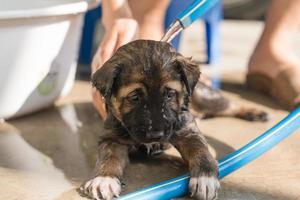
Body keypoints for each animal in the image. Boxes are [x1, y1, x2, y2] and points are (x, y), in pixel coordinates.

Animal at [79, 39, 268, 199]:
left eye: (169, 94)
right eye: (134, 97)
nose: (156, 134)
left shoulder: (188, 132)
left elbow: (201, 151)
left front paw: (205, 178)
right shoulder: (112, 138)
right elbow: (108, 158)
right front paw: (104, 179)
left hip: (206, 98)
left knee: (230, 104)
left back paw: (255, 112)